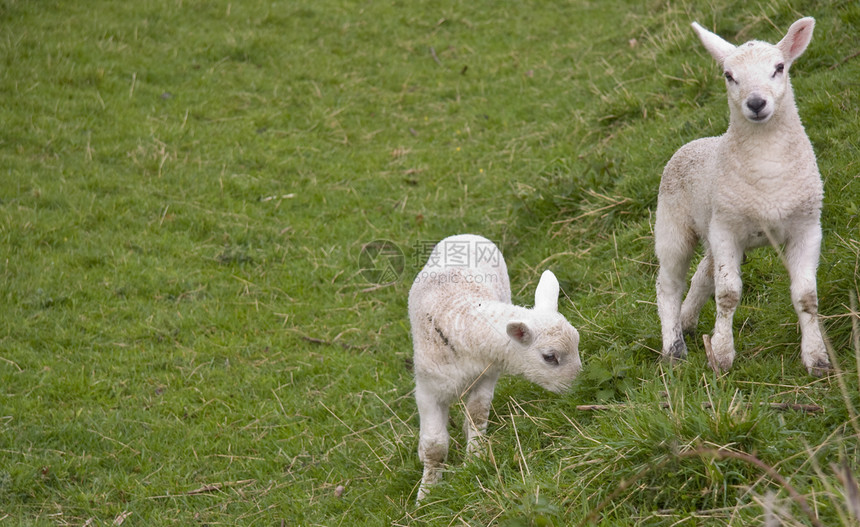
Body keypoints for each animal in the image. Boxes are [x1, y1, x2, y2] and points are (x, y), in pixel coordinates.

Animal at [406, 236, 580, 504]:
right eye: (550, 357)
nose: (580, 387)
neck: (462, 321)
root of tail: (465, 235)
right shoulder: (427, 390)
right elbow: (434, 446)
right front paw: (427, 494)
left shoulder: (487, 374)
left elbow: (477, 415)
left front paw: (474, 460)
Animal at [656, 17, 828, 376]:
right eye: (728, 75)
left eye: (779, 67)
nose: (756, 103)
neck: (767, 167)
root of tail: (695, 142)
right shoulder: (727, 230)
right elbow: (728, 295)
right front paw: (721, 356)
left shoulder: (807, 226)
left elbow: (806, 296)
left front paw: (817, 358)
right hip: (673, 225)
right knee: (668, 285)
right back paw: (673, 347)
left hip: (713, 225)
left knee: (702, 273)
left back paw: (687, 320)